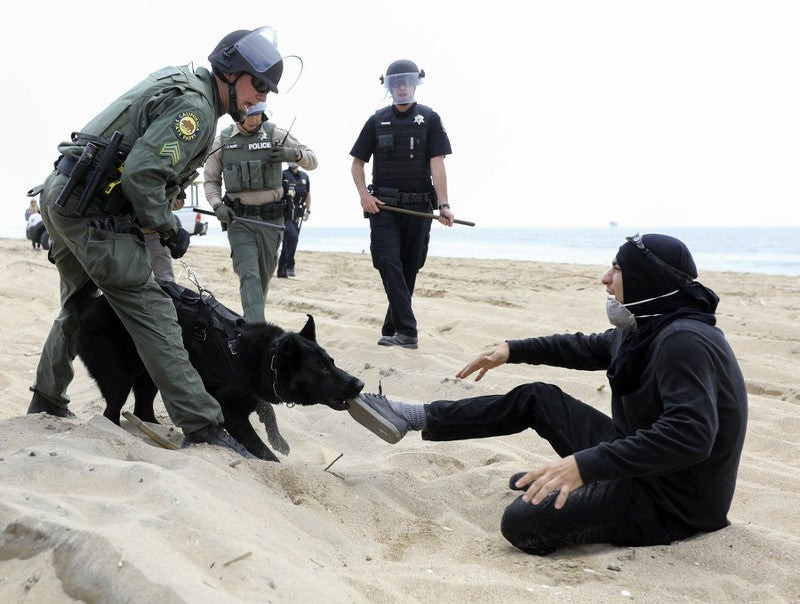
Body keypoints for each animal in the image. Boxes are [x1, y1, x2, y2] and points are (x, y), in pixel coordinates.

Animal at [73, 280, 364, 460]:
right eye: (323, 370)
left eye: (333, 362)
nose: (359, 384)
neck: (258, 358)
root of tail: (89, 306)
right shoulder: (231, 414)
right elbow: (262, 452)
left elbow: (266, 413)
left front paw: (278, 440)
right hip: (119, 377)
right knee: (112, 410)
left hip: (153, 372)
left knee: (143, 406)